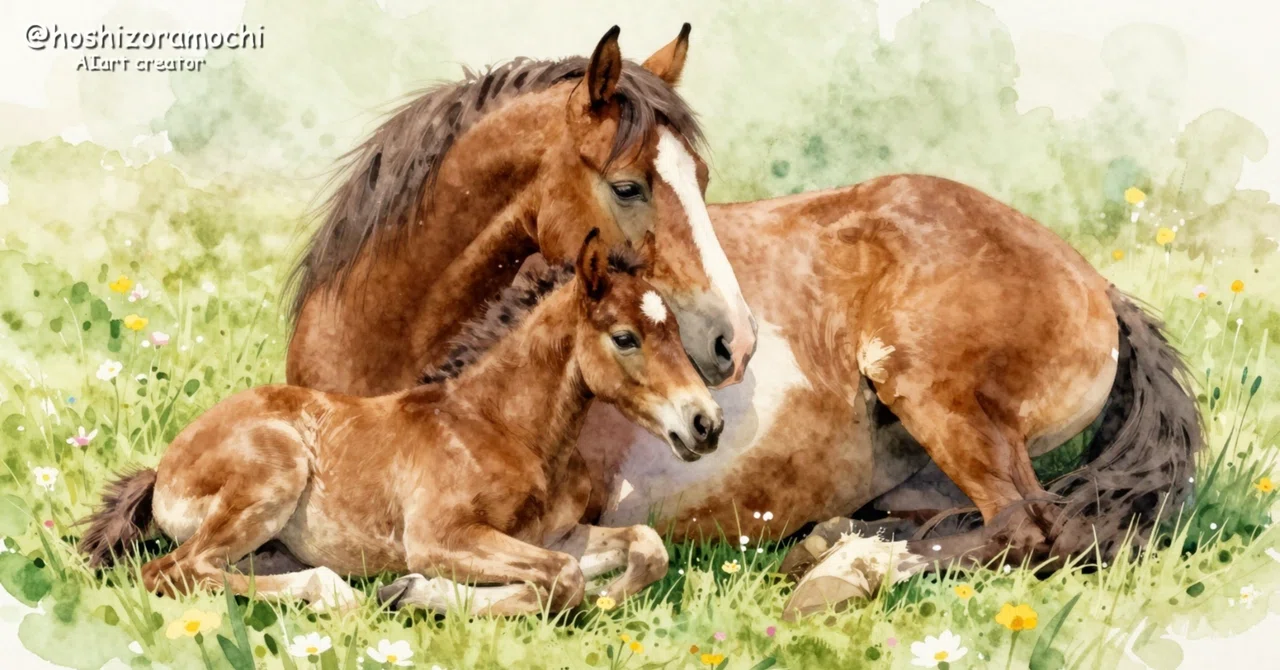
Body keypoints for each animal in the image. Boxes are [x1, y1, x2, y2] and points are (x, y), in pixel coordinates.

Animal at [80, 230, 722, 616]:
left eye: (675, 330)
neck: (504, 429)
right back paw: (335, 594)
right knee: (176, 571)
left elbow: (642, 548)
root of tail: (163, 468)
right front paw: (419, 592)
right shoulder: (440, 537)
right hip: (271, 476)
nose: (706, 423)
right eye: (625, 337)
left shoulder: (553, 534)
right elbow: (564, 581)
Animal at [284, 25, 1203, 618]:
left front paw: (420, 590)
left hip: (934, 395)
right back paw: (829, 546)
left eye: (701, 179)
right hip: (917, 471)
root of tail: (1094, 281)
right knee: (971, 524)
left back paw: (834, 577)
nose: (735, 341)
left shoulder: (570, 513)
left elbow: (558, 572)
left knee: (1026, 526)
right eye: (628, 186)